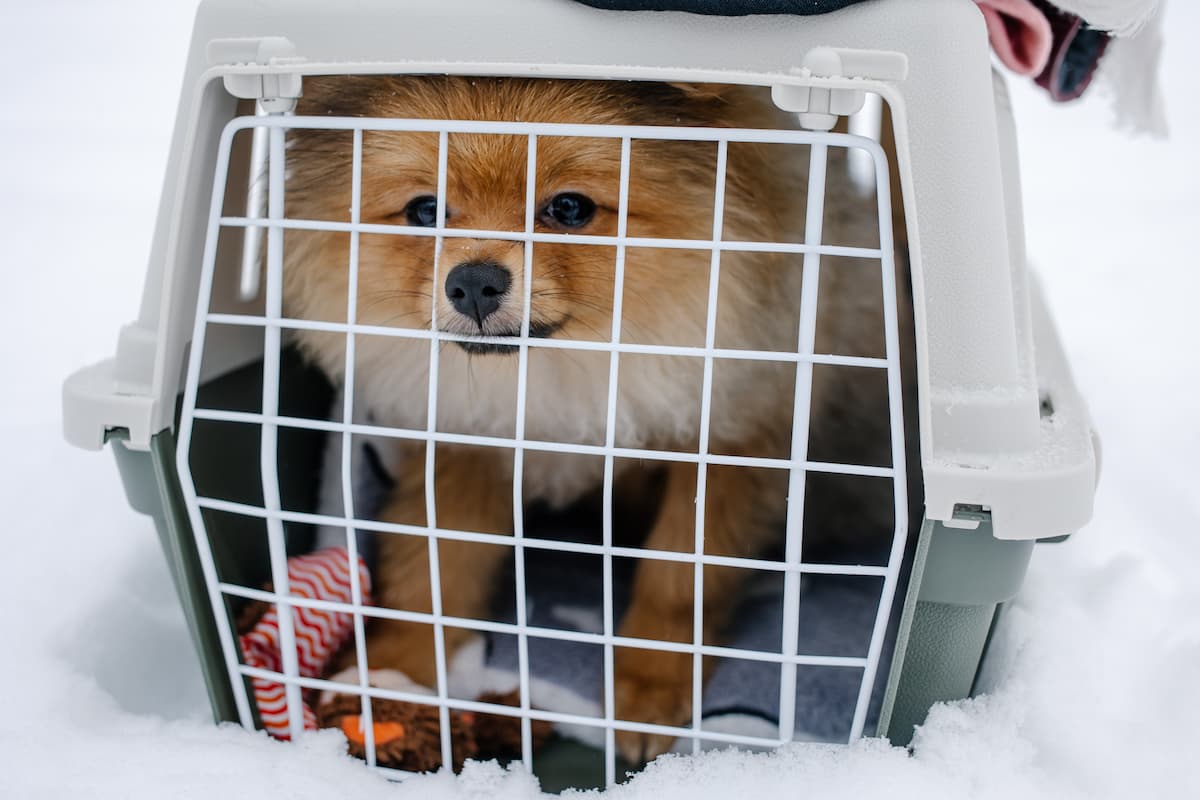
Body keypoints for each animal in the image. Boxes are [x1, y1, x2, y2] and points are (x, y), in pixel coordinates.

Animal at [278, 76, 883, 762]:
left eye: (568, 209)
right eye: (425, 211)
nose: (474, 281)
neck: (569, 369)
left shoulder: (728, 442)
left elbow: (680, 577)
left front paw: (648, 685)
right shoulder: (468, 445)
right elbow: (433, 565)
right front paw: (390, 670)